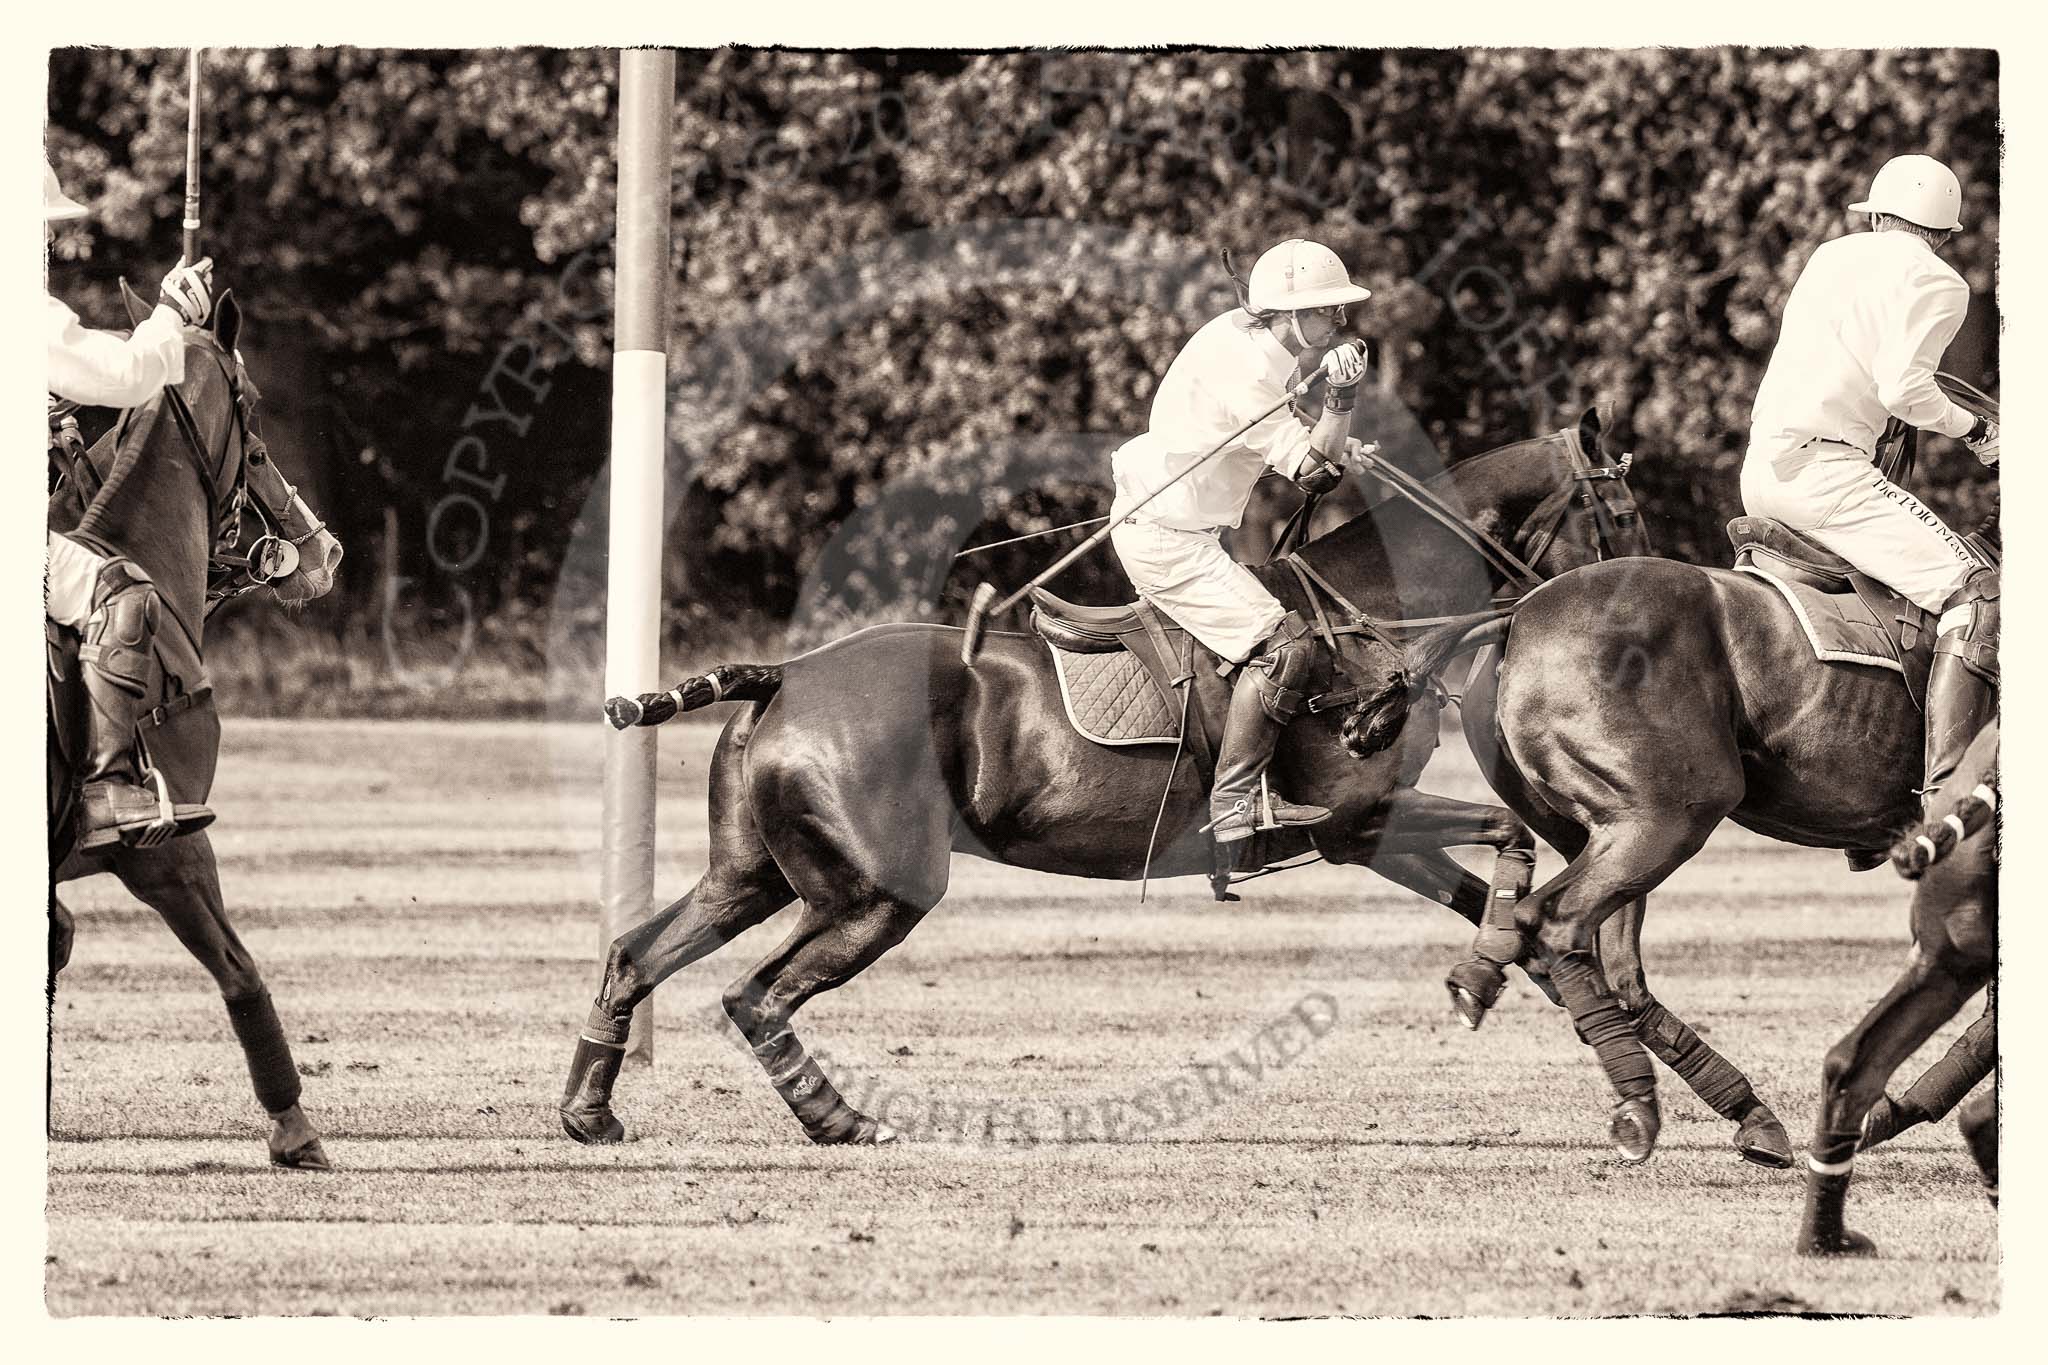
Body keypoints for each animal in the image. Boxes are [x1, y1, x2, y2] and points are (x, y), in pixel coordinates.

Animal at [561, 411, 1695, 1146]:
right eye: (1623, 509)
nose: (1651, 615)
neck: (1368, 618)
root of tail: (781, 675)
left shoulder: (1366, 836)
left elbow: (1511, 901)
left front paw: (1569, 1018)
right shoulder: (1352, 819)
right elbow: (1510, 840)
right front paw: (1505, 996)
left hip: (753, 872)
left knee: (637, 953)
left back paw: (589, 1111)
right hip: (874, 892)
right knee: (753, 996)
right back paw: (839, 1121)